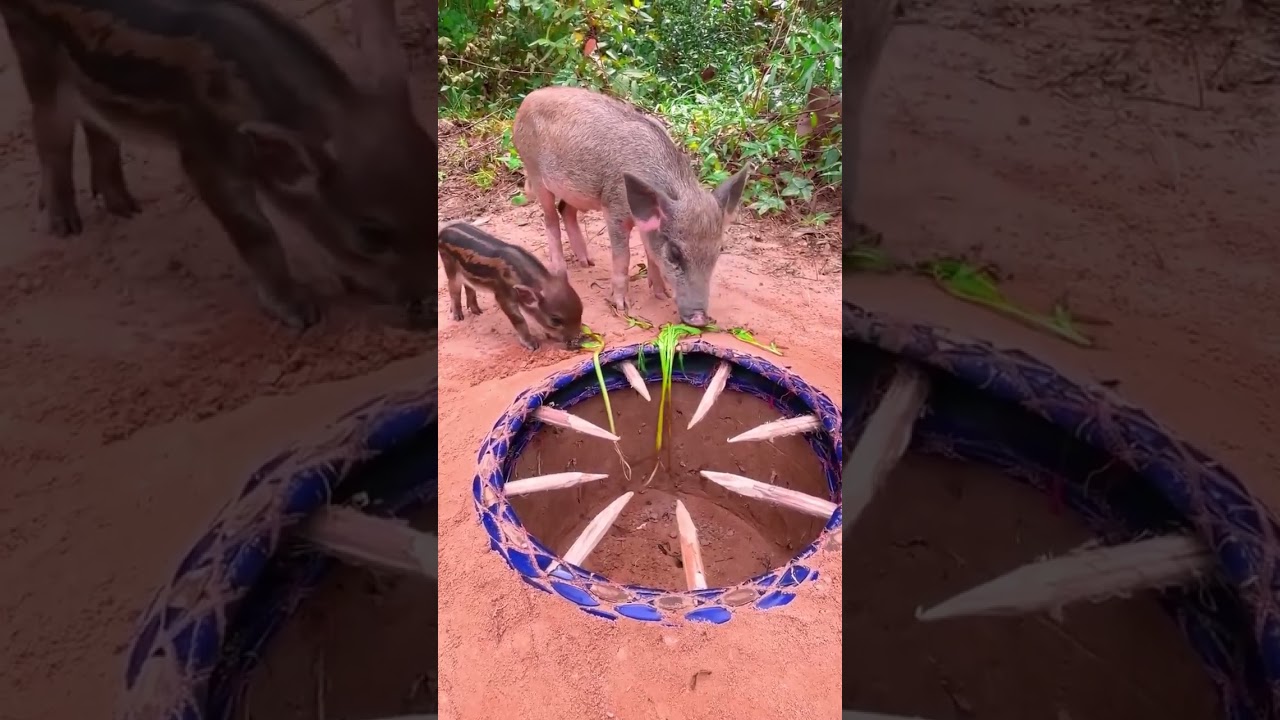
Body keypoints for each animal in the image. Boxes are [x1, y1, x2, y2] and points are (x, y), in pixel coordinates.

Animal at [0, 0, 436, 329]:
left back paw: (125, 207)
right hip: (36, 60)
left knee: (98, 126)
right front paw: (301, 314)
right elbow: (258, 234)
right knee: (51, 138)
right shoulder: (204, 157)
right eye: (372, 234)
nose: (429, 312)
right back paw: (64, 224)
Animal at [438, 220, 584, 352]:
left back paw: (477, 311)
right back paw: (458, 317)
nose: (577, 341)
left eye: (581, 310)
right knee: (453, 290)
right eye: (555, 320)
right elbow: (518, 319)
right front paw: (532, 345)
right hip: (450, 268)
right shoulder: (503, 295)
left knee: (469, 286)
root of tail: (443, 231)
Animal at [511, 86, 751, 328]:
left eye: (719, 251)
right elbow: (623, 257)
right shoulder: (614, 208)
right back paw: (561, 272)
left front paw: (661, 295)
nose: (700, 318)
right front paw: (621, 308)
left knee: (565, 211)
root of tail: (527, 100)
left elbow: (650, 252)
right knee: (550, 218)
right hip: (535, 173)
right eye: (674, 253)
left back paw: (588, 262)